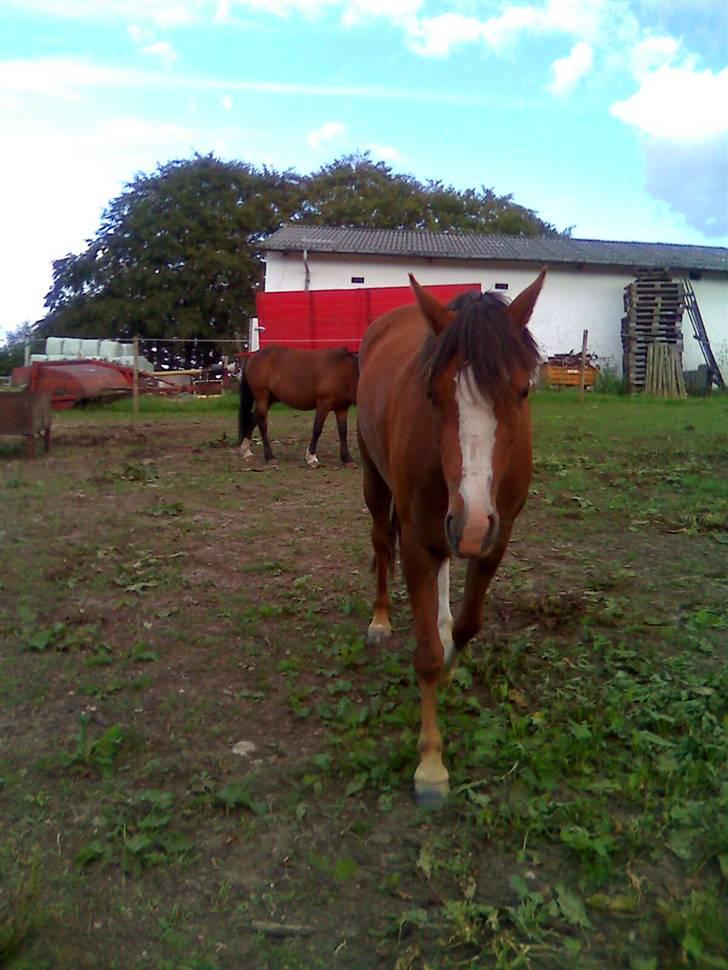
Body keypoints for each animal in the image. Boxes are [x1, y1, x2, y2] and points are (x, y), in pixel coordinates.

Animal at [356, 270, 545, 807]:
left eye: (522, 392)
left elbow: (466, 626)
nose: (472, 523)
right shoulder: (420, 542)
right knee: (382, 542)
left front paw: (451, 660)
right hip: (374, 479)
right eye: (433, 395)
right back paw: (380, 619)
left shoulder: (497, 539)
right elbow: (424, 657)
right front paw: (431, 766)